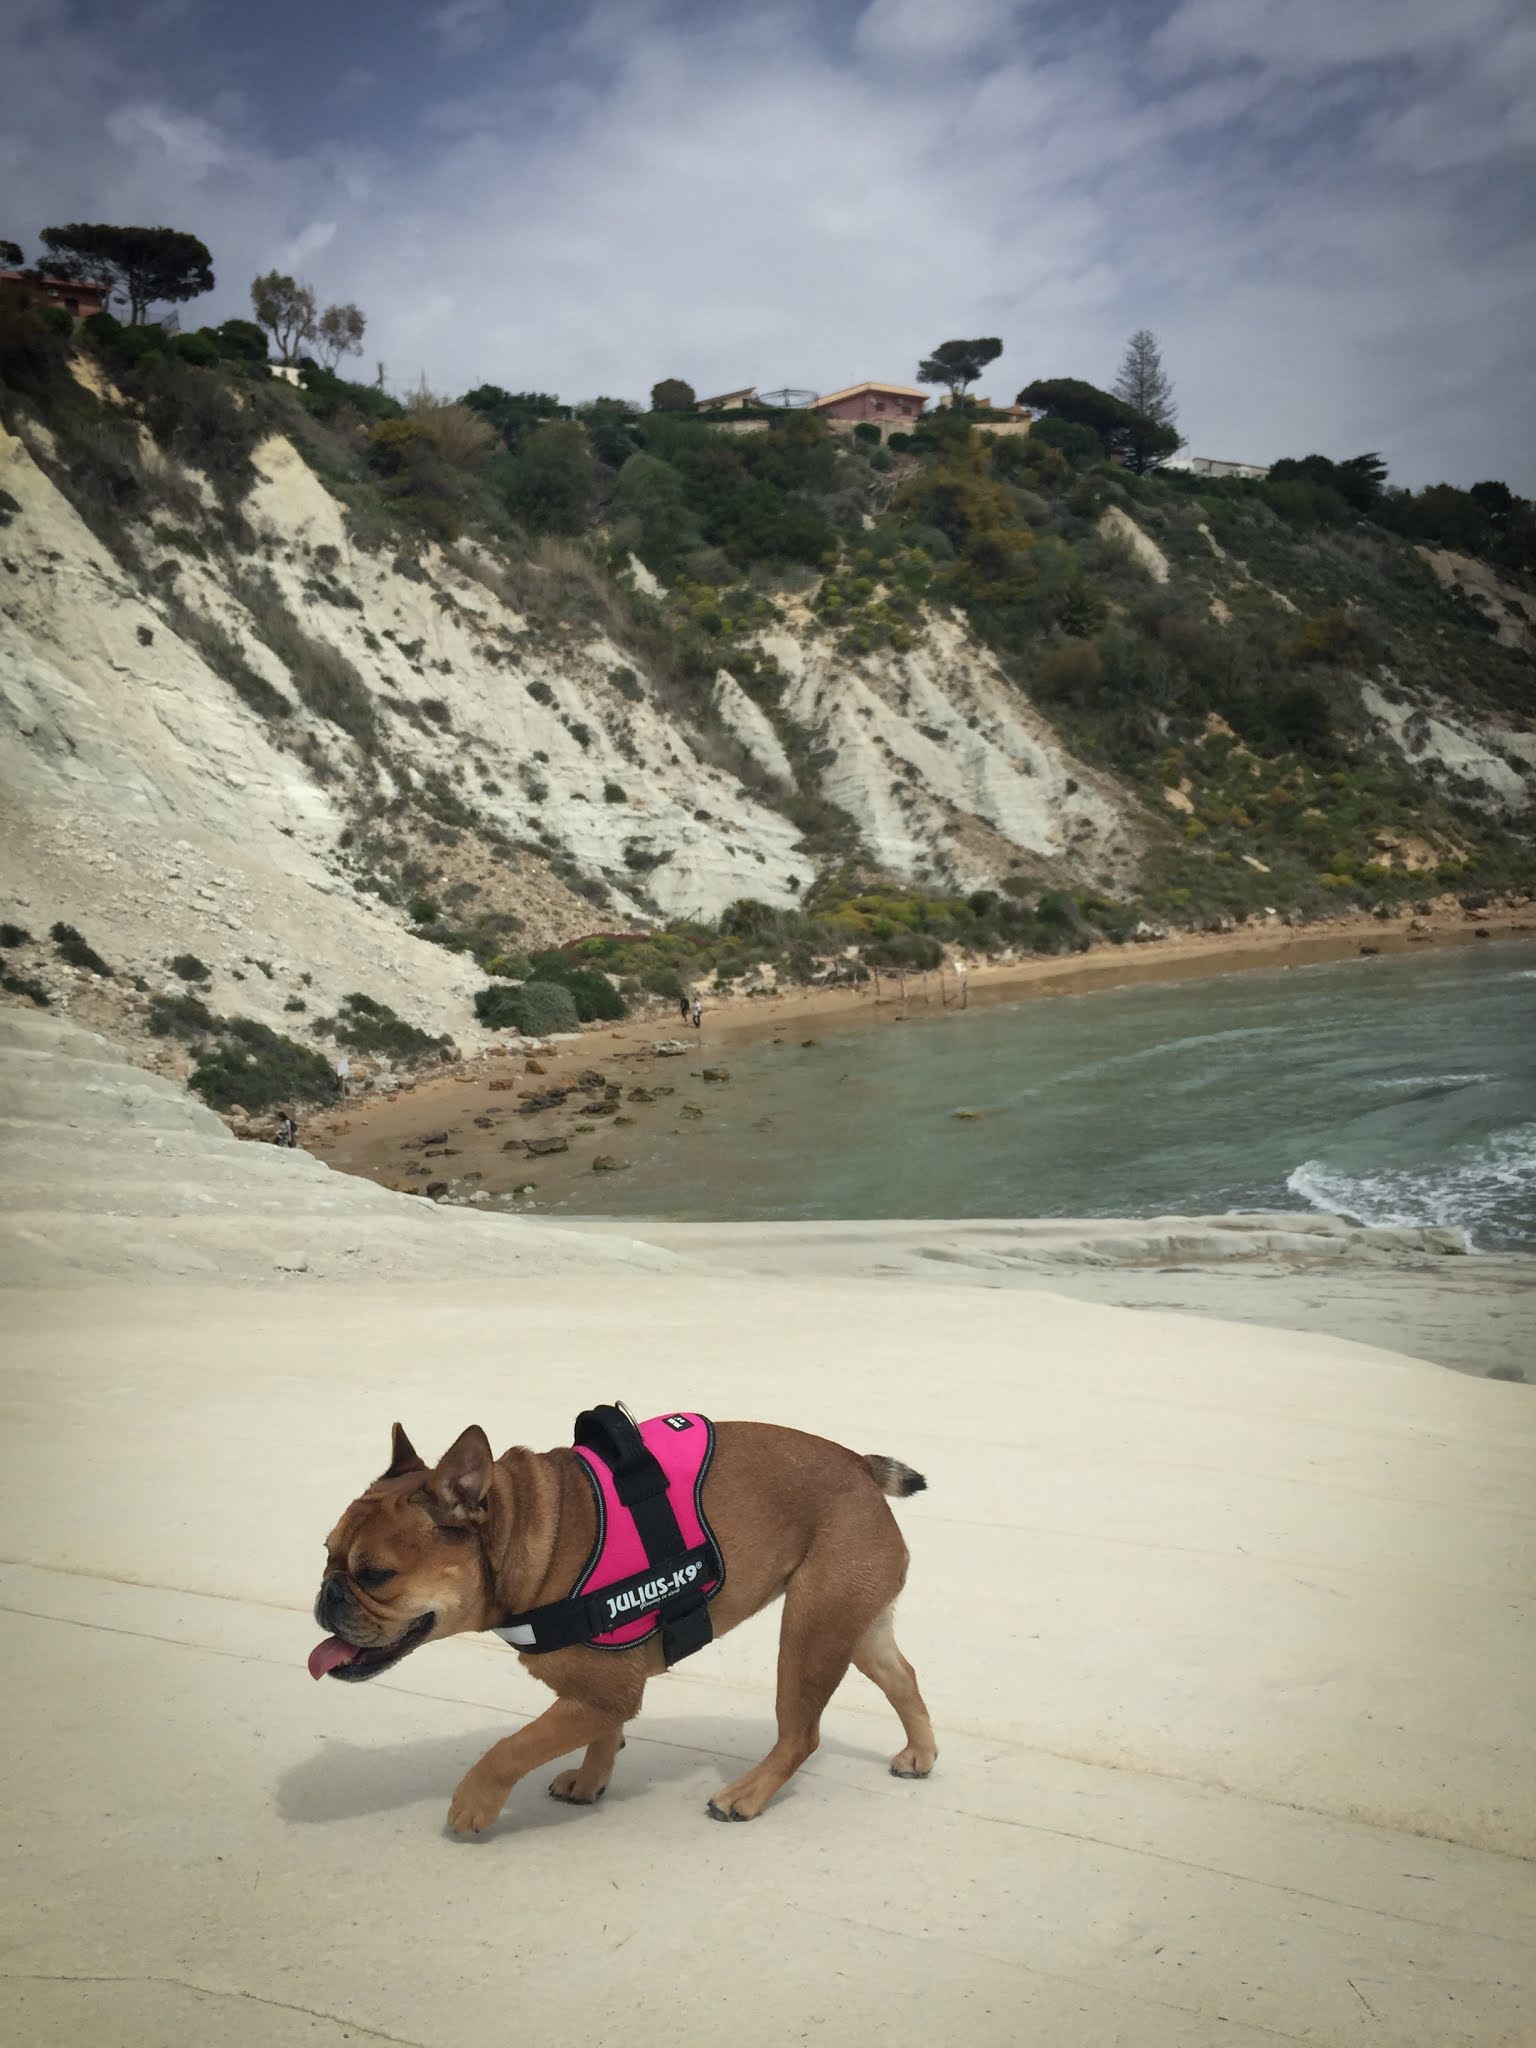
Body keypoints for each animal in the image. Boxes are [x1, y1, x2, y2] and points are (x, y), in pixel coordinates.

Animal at [313, 1417, 937, 1835]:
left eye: (375, 1574)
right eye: (326, 1554)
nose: (327, 1594)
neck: (526, 1533)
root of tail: (859, 1465)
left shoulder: (604, 1690)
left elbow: (513, 1746)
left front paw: (473, 1802)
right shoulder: (600, 1689)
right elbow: (598, 1735)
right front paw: (591, 1780)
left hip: (810, 1632)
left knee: (801, 1734)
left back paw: (746, 1795)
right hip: (851, 1620)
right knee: (902, 1676)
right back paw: (921, 1754)